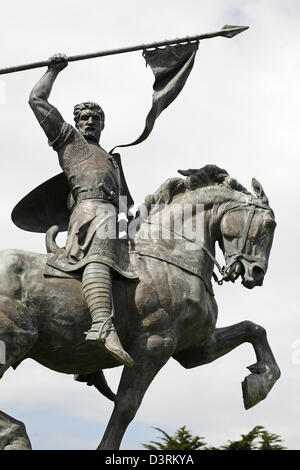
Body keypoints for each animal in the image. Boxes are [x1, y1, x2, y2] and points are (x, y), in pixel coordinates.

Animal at [0, 165, 280, 448]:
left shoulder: (195, 348)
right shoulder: (154, 343)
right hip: (15, 340)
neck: (169, 254)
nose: (257, 273)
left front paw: (258, 383)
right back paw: (17, 435)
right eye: (270, 224)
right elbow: (126, 406)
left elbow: (254, 329)